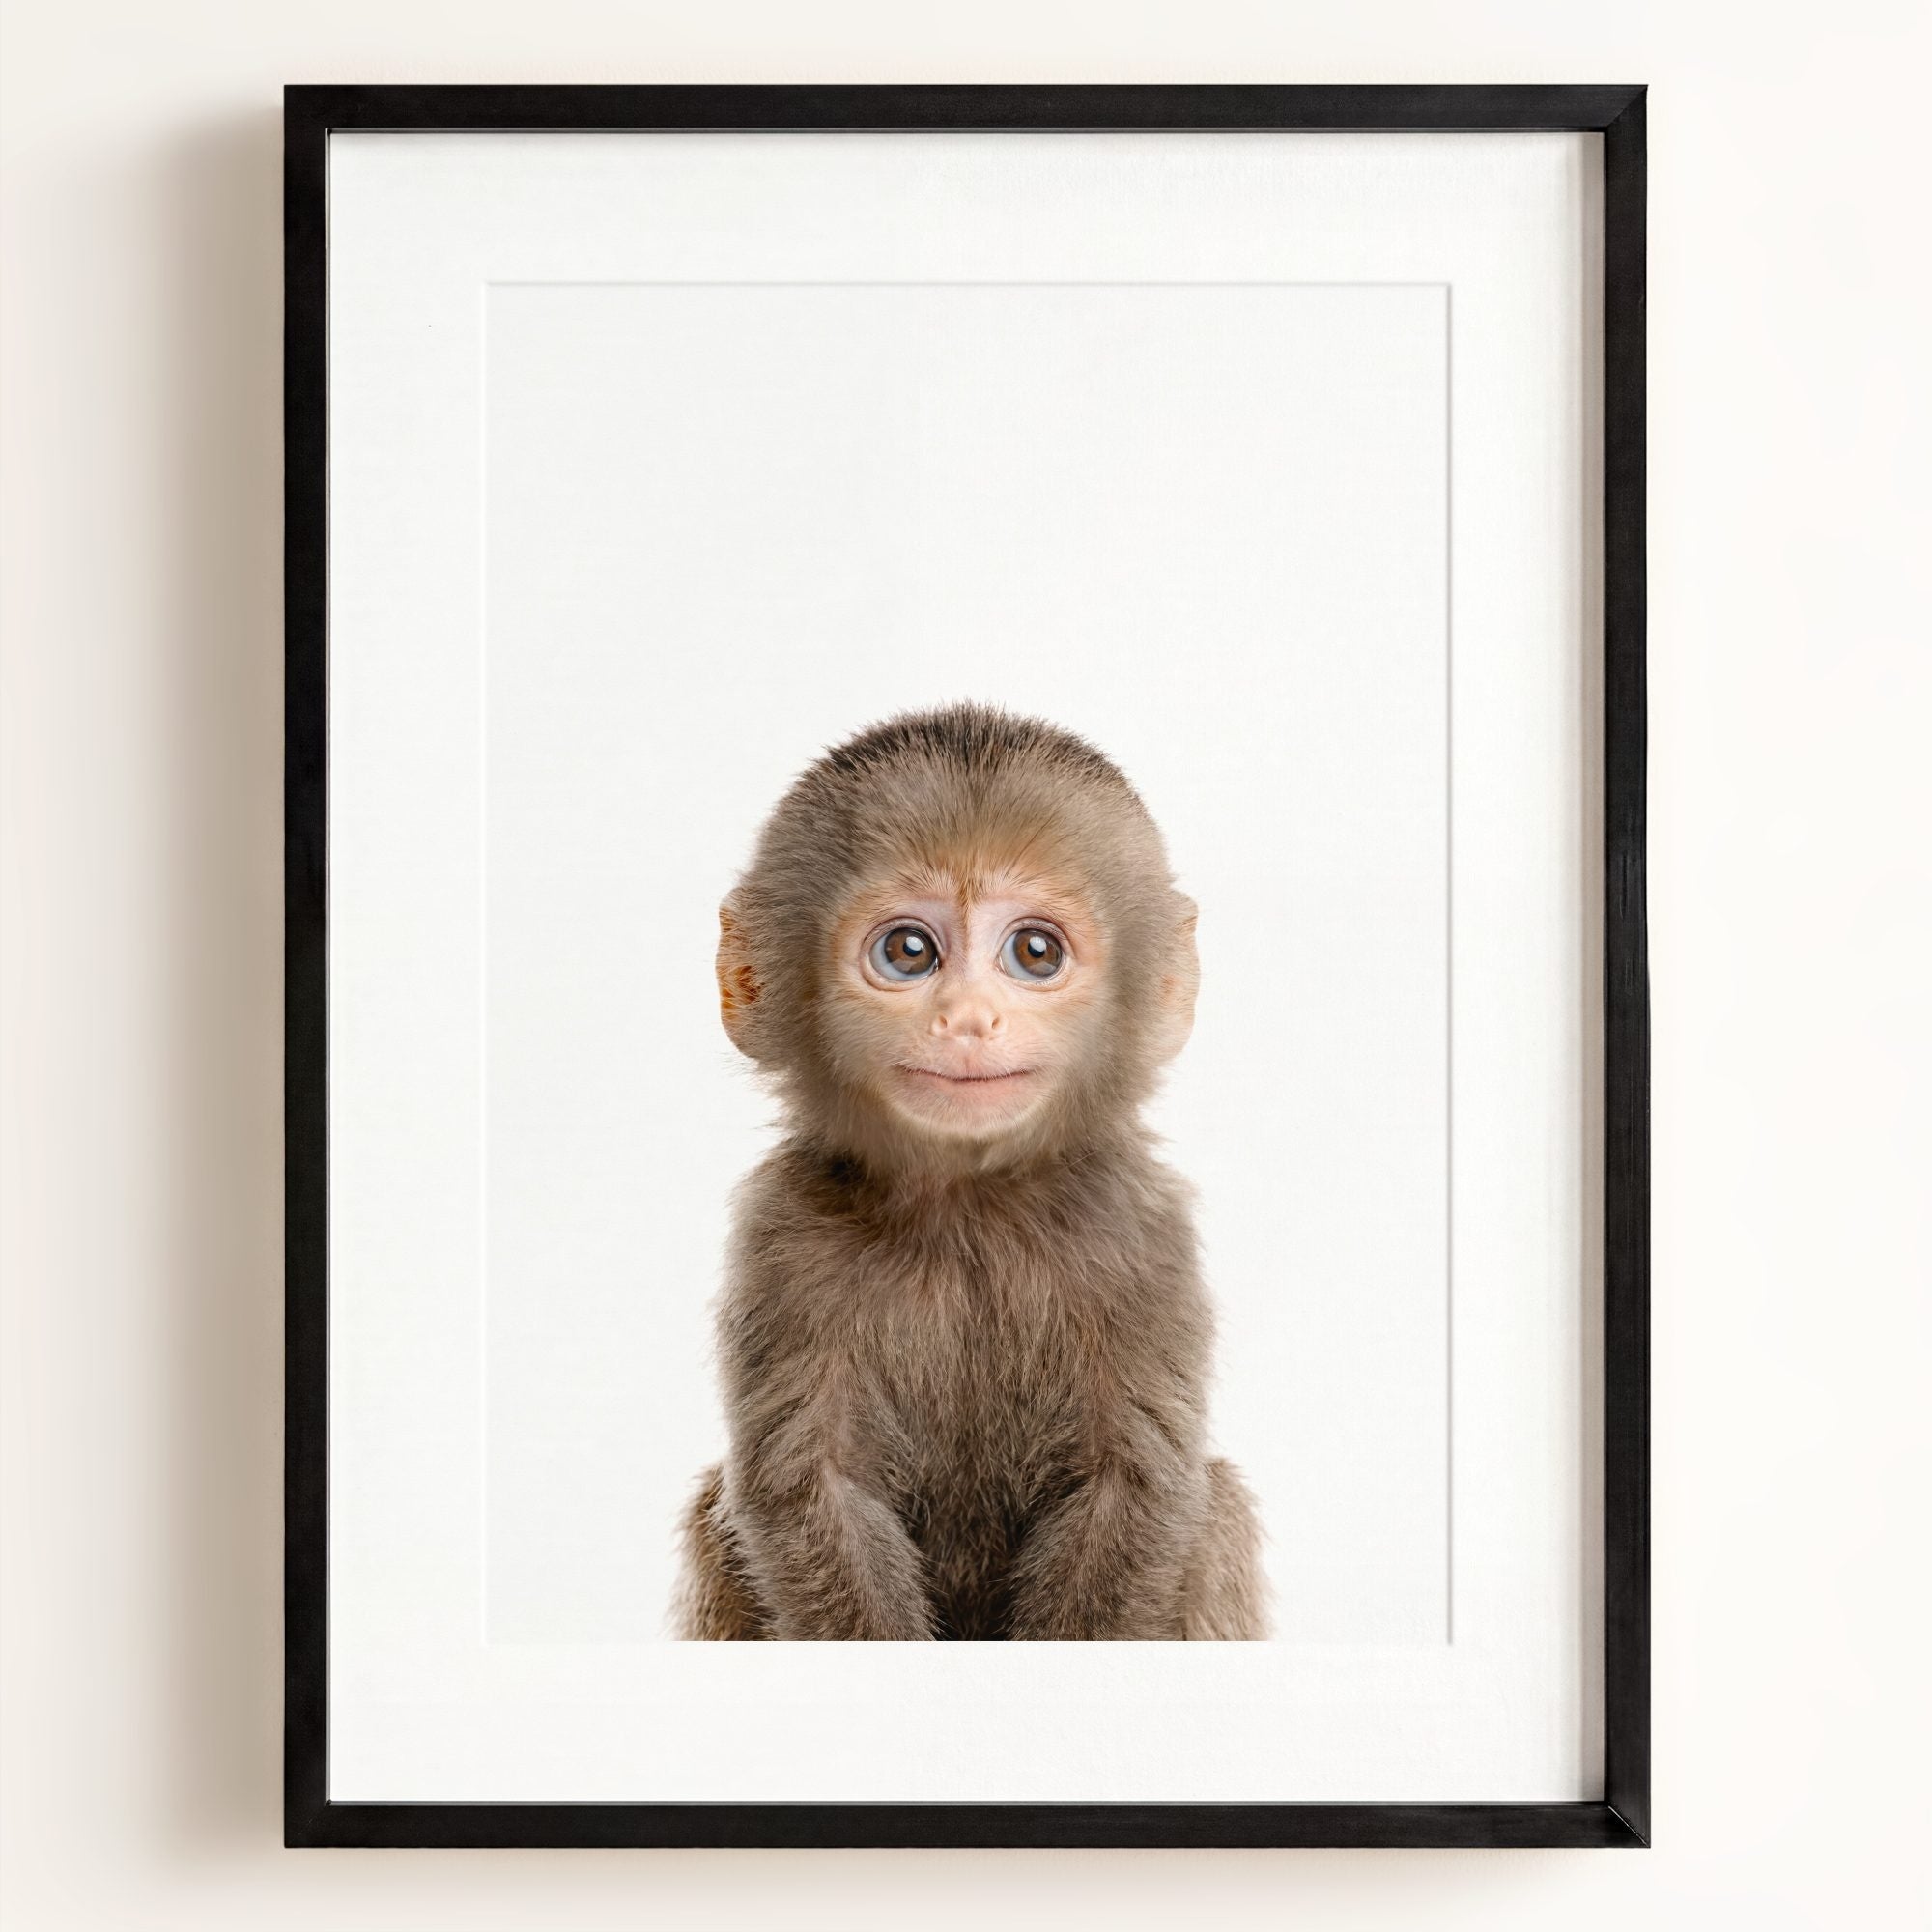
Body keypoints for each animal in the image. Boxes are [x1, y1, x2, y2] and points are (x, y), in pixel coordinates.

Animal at [674, 703, 1266, 1640]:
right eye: (910, 952)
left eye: (1035, 952)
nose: (968, 1019)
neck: (968, 1208)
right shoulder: (782, 1235)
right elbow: (812, 1491)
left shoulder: (1141, 1232)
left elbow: (1134, 1486)